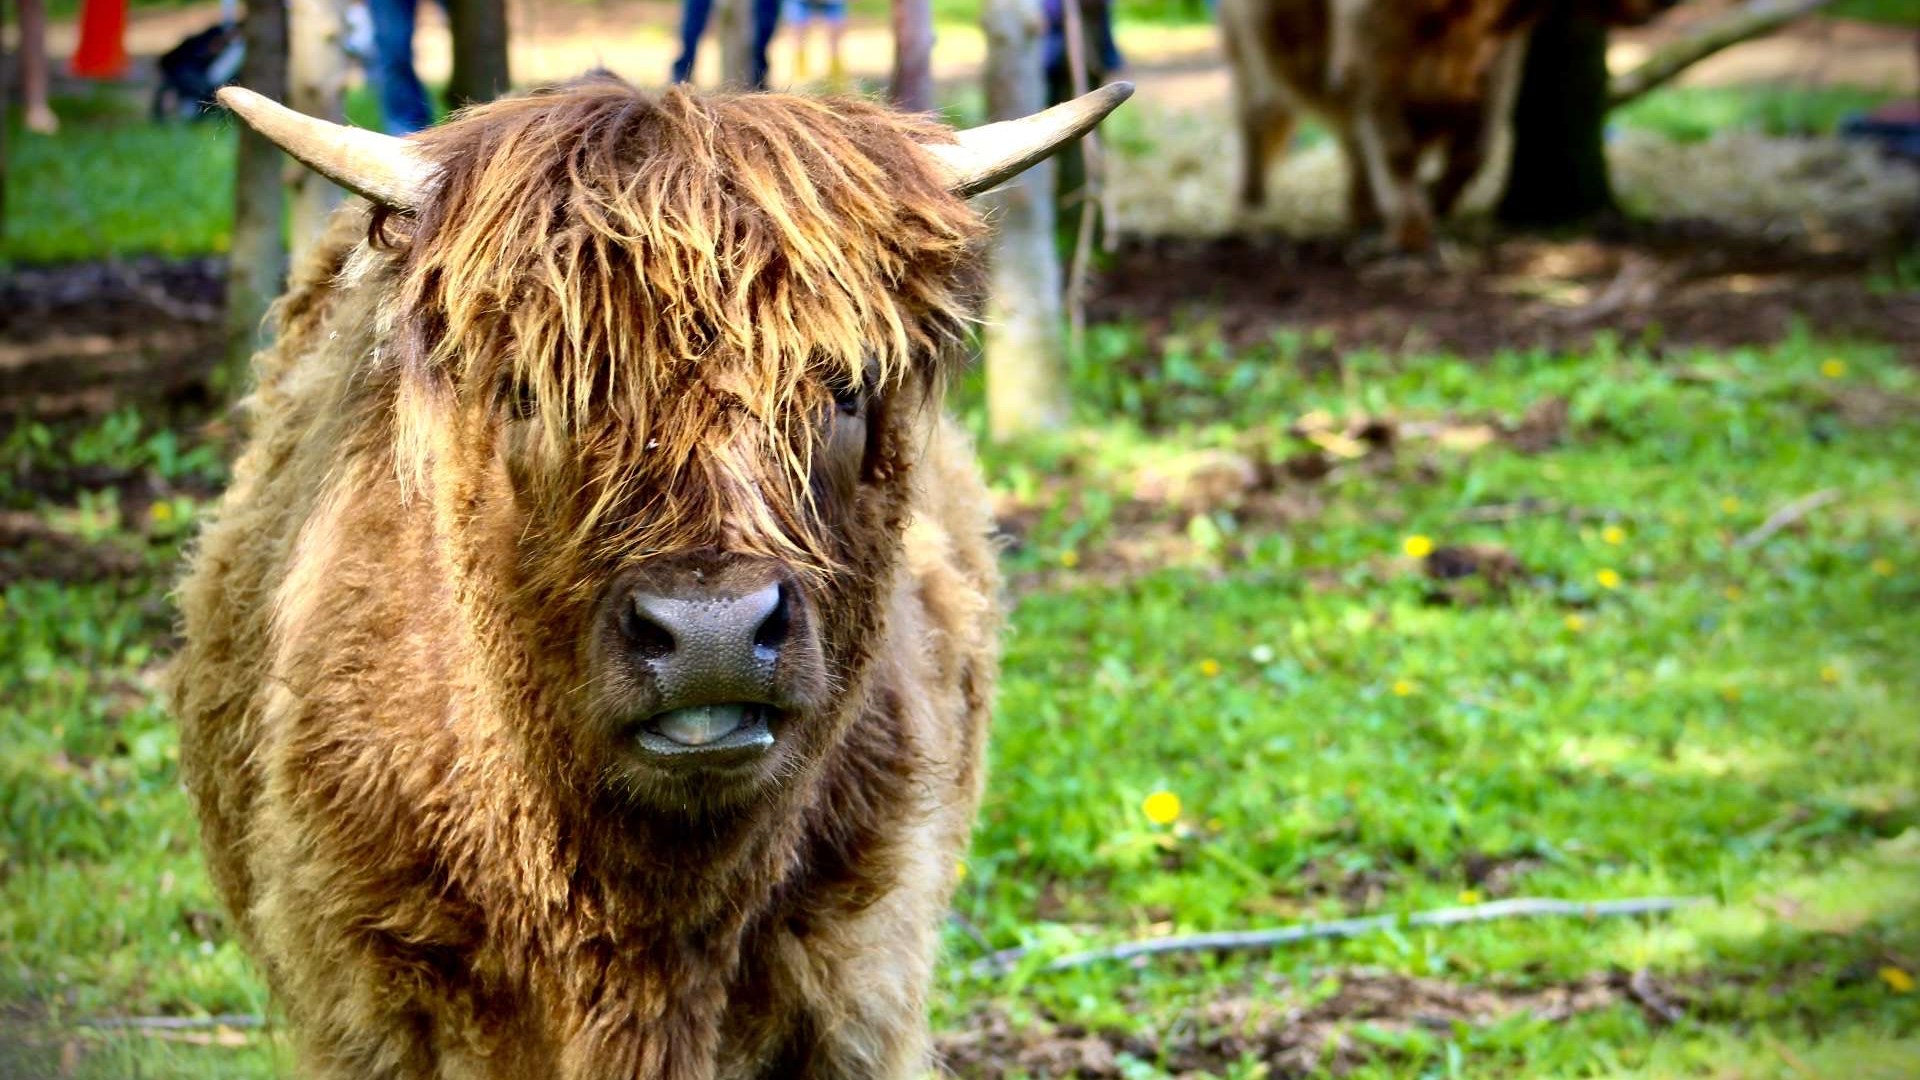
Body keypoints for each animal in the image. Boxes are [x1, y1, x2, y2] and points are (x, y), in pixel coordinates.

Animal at [1219, 0, 1666, 250]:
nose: (1660, 3)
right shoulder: (1371, 63)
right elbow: (1397, 152)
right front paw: (1411, 231)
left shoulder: (1494, 73)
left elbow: (1473, 153)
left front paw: (1433, 201)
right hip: (1254, 62)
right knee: (1255, 118)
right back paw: (1251, 198)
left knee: (1352, 146)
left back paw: (1363, 209)